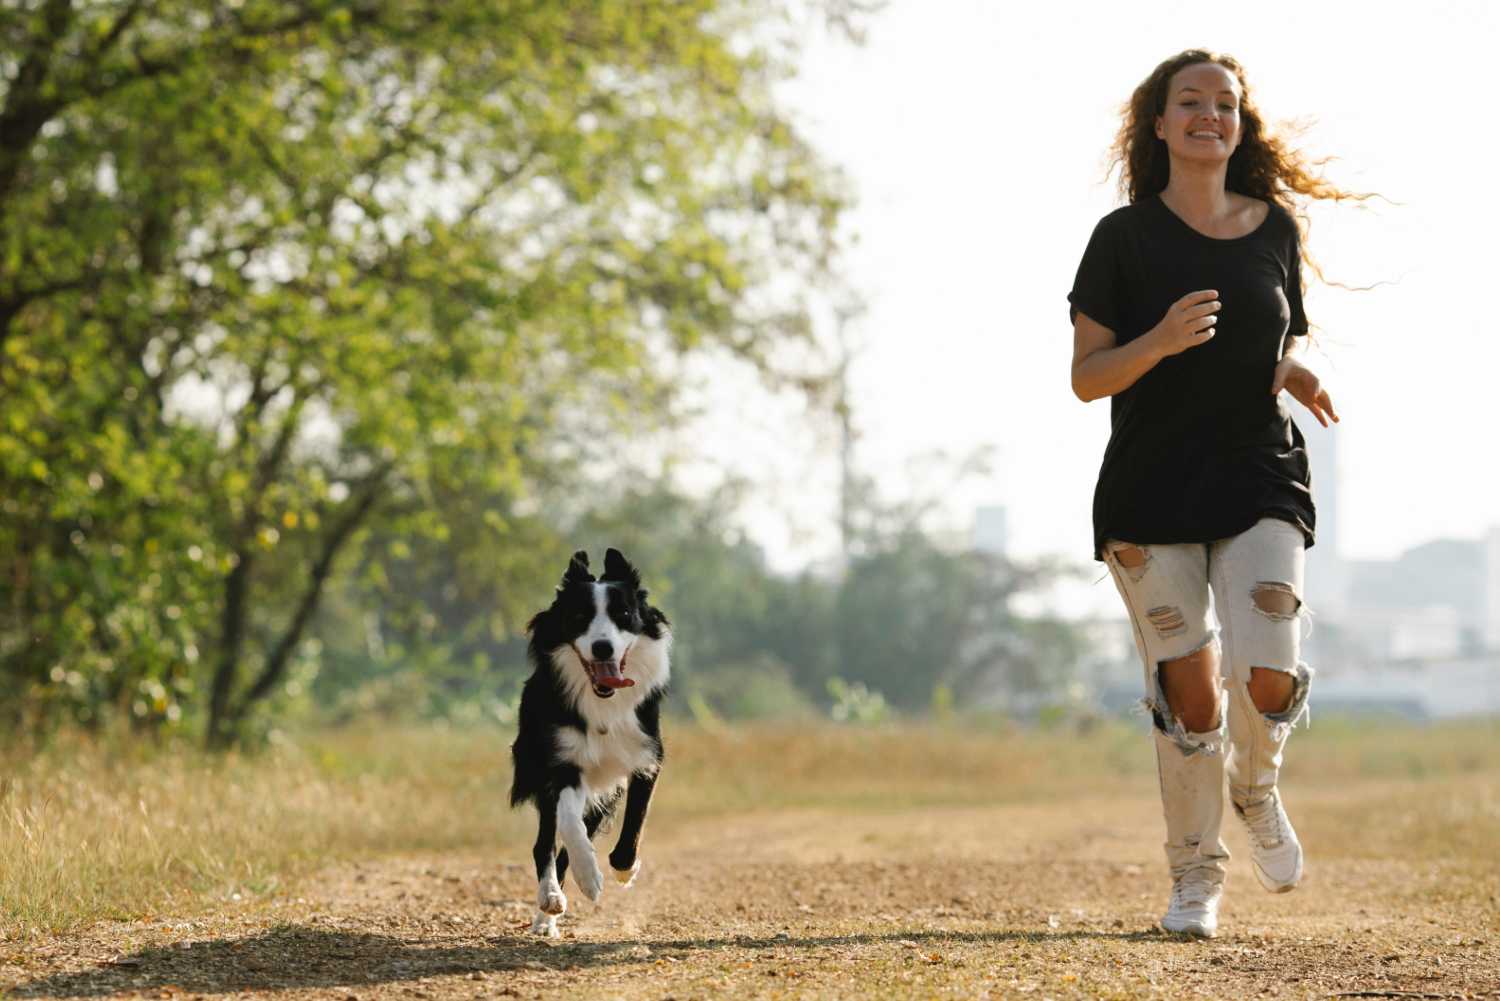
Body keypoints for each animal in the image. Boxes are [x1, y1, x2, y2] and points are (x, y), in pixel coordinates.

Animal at [510, 549, 669, 942]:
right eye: (579, 617)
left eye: (623, 615)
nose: (602, 647)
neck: (602, 704)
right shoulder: (563, 762)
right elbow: (568, 824)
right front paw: (589, 877)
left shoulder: (646, 757)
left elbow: (636, 820)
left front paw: (624, 869)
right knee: (545, 844)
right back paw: (549, 903)